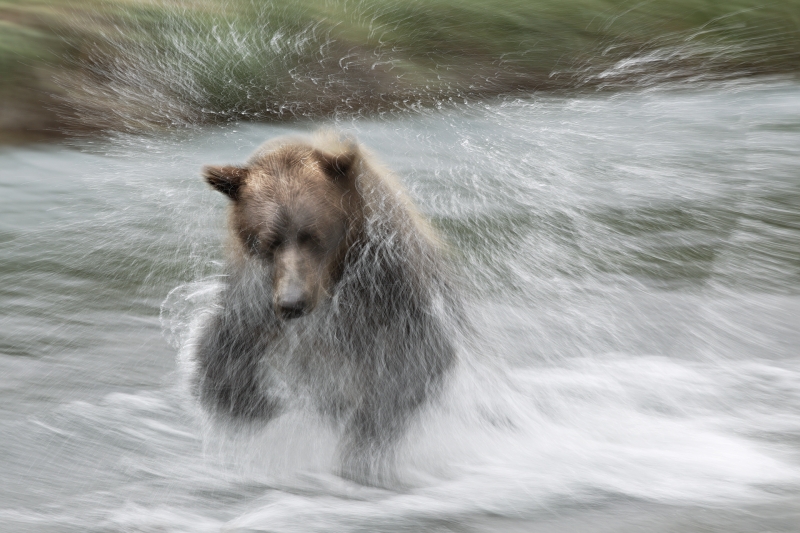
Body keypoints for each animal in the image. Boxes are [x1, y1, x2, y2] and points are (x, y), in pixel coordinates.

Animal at [191, 132, 460, 482]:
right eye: (268, 241)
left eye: (313, 235)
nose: (292, 303)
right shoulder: (252, 296)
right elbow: (225, 353)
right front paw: (249, 403)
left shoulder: (384, 283)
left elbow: (411, 362)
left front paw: (364, 444)